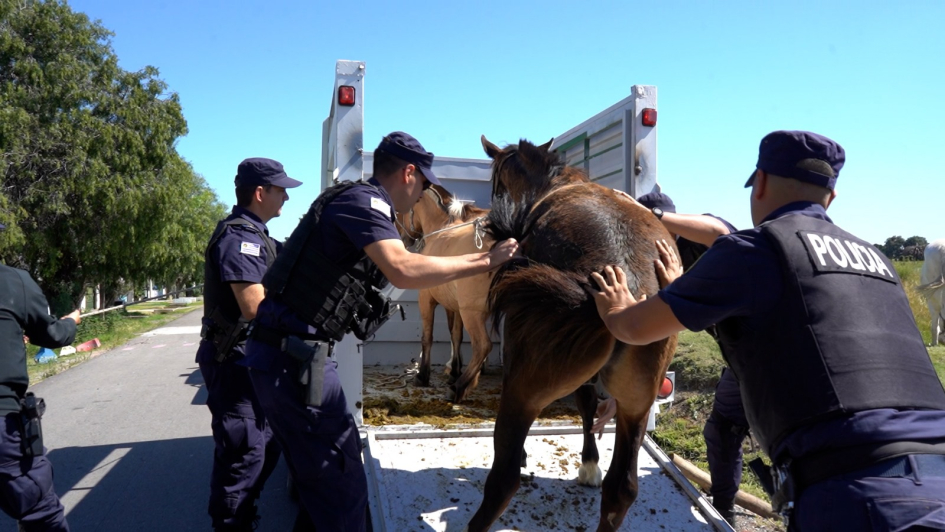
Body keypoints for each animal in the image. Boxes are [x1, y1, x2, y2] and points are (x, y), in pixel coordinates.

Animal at [395, 184, 496, 403]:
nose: (402, 239)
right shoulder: (454, 305)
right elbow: (455, 335)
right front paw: (454, 371)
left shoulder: (426, 298)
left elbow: (427, 336)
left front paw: (422, 376)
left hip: (472, 312)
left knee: (482, 346)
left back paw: (459, 388)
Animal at [462, 136, 678, 532]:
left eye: (497, 182)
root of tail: (626, 296)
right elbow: (589, 406)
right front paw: (590, 464)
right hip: (638, 403)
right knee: (622, 488)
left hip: (525, 389)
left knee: (503, 480)